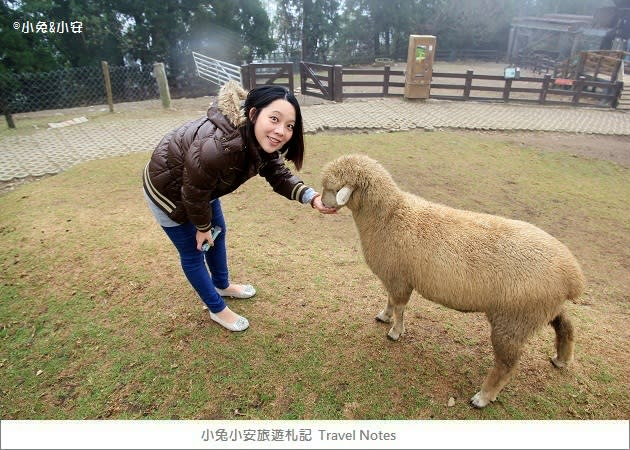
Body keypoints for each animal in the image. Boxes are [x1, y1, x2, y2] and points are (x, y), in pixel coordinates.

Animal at [320, 154, 588, 408]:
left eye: (330, 188)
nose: (321, 203)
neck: (389, 215)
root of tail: (573, 276)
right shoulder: (395, 276)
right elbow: (390, 301)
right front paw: (384, 316)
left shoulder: (398, 278)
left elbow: (400, 307)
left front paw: (395, 332)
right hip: (540, 309)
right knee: (566, 326)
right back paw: (562, 359)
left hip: (513, 320)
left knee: (507, 364)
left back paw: (483, 397)